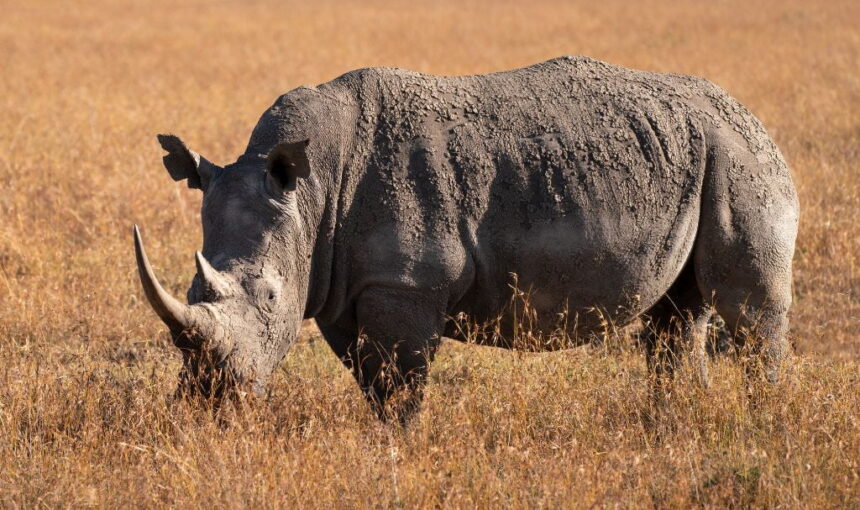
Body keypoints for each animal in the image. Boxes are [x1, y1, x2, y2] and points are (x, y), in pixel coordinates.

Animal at [134, 56, 798, 420]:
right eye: (191, 289)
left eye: (271, 297)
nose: (211, 399)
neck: (312, 189)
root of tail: (751, 116)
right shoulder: (338, 280)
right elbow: (370, 378)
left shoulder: (405, 282)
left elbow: (399, 384)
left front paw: (398, 451)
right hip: (696, 153)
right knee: (677, 315)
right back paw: (677, 424)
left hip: (739, 157)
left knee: (750, 308)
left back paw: (763, 421)